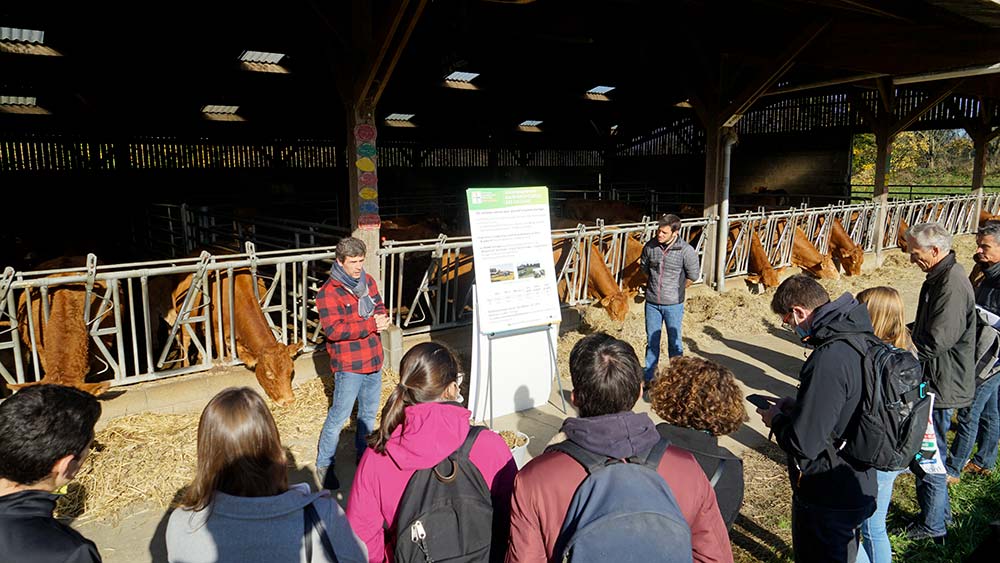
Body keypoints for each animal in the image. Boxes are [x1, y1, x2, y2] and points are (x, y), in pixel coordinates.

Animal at [166, 268, 300, 406]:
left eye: (291, 371)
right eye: (269, 374)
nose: (289, 401)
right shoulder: (217, 332)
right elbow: (224, 354)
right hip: (184, 318)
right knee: (185, 340)